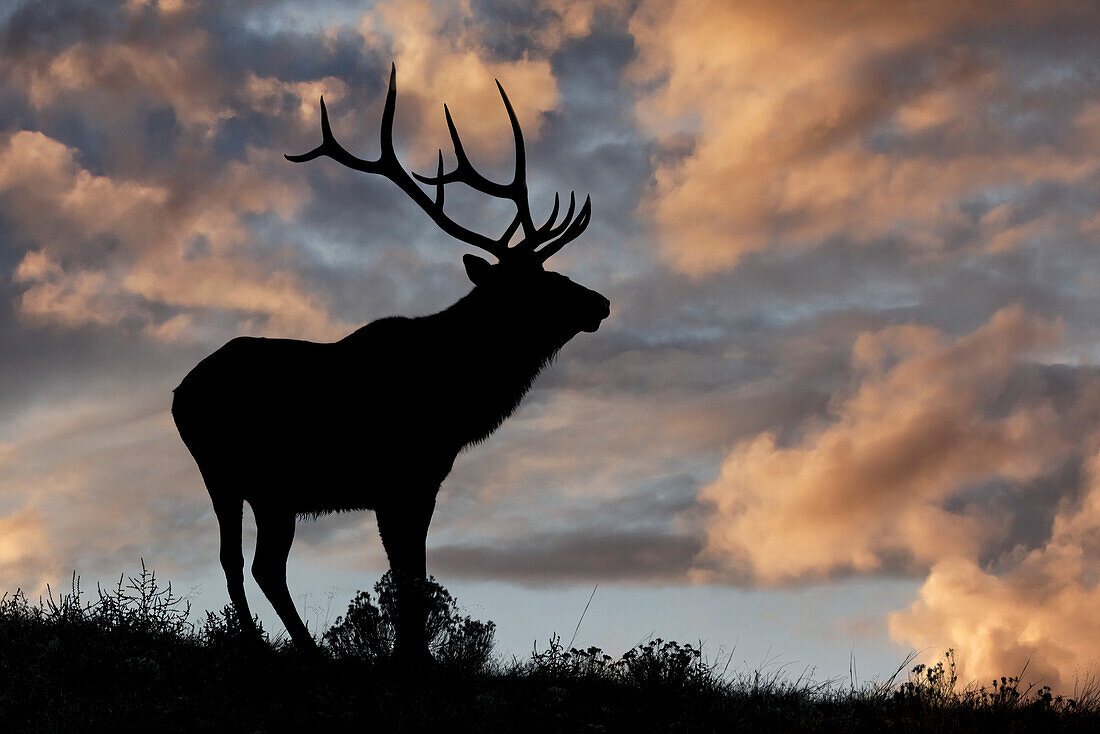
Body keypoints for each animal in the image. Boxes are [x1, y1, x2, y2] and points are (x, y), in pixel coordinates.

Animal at [171, 64, 611, 660]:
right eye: (533, 285)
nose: (600, 302)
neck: (459, 403)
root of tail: (178, 395)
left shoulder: (416, 481)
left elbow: (411, 571)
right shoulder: (401, 478)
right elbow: (409, 574)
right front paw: (412, 654)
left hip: (260, 489)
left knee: (253, 563)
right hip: (232, 472)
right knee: (248, 563)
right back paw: (289, 649)